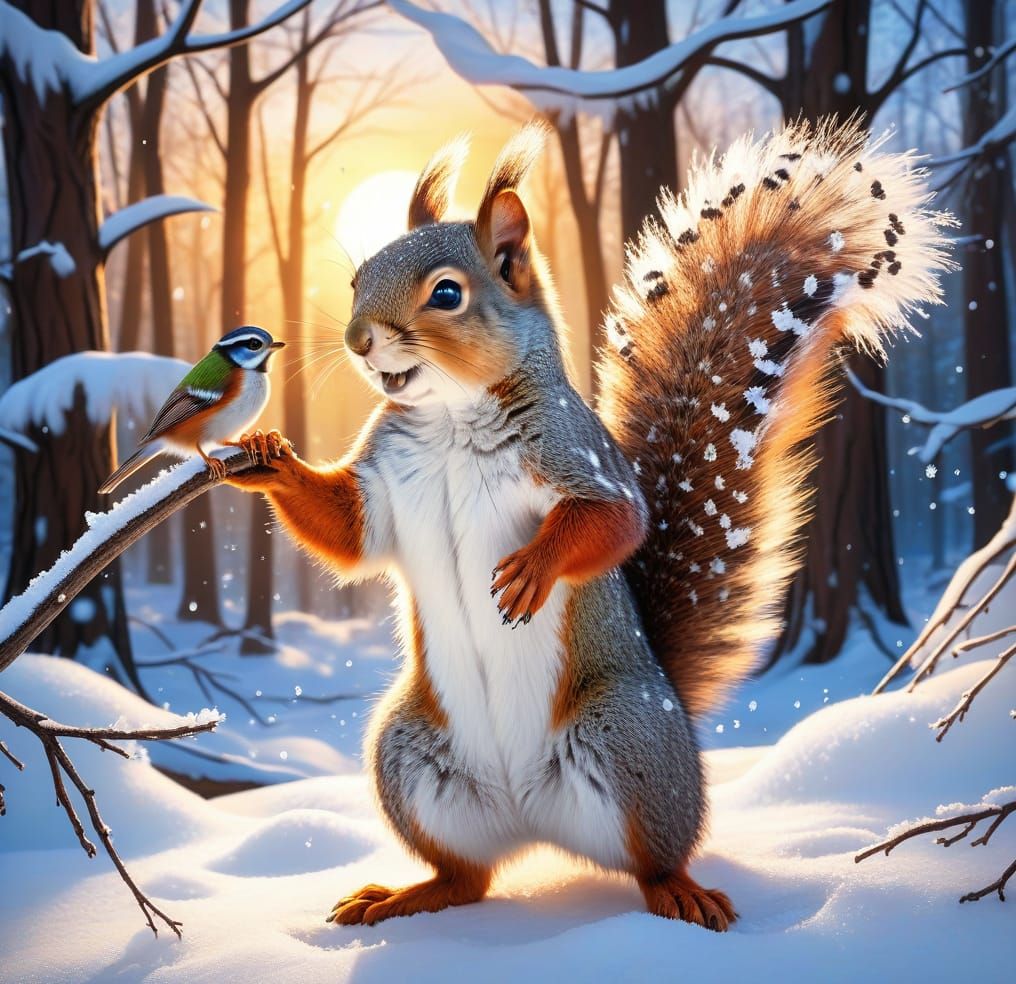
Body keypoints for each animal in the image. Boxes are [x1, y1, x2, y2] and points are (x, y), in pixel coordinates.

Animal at [227, 119, 953, 931]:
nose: (358, 340)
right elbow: (348, 532)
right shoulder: (383, 487)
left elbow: (613, 522)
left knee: (652, 856)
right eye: (357, 281)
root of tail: (530, 820)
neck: (450, 419)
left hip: (626, 739)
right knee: (467, 877)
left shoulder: (577, 458)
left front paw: (531, 571)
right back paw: (406, 896)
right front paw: (268, 457)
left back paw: (679, 891)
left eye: (446, 293)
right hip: (406, 753)